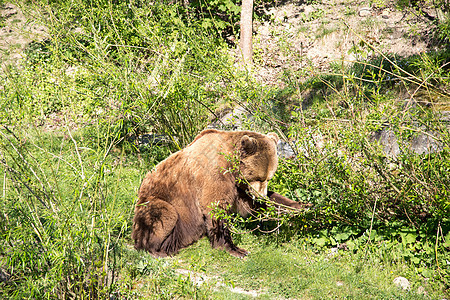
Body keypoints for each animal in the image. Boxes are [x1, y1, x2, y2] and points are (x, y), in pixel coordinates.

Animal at [130, 129, 306, 258]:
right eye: (259, 177)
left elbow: (252, 205)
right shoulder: (214, 176)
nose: (260, 195)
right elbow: (215, 208)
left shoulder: (239, 188)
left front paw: (299, 206)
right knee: (163, 215)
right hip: (155, 200)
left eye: (269, 177)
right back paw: (155, 250)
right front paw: (235, 249)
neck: (231, 168)